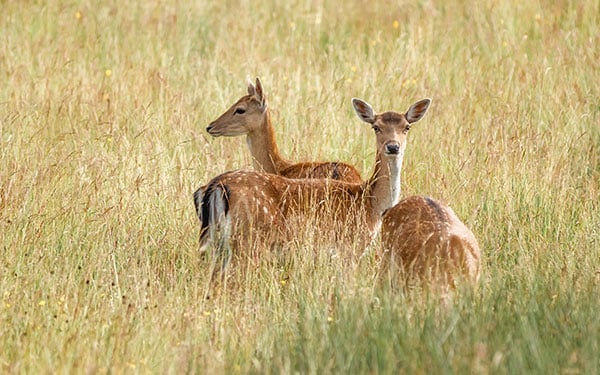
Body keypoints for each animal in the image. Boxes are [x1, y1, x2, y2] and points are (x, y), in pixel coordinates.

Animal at [193, 98, 432, 272]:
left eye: (407, 127)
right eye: (376, 127)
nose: (393, 147)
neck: (370, 203)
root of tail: (215, 186)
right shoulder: (350, 248)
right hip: (247, 239)